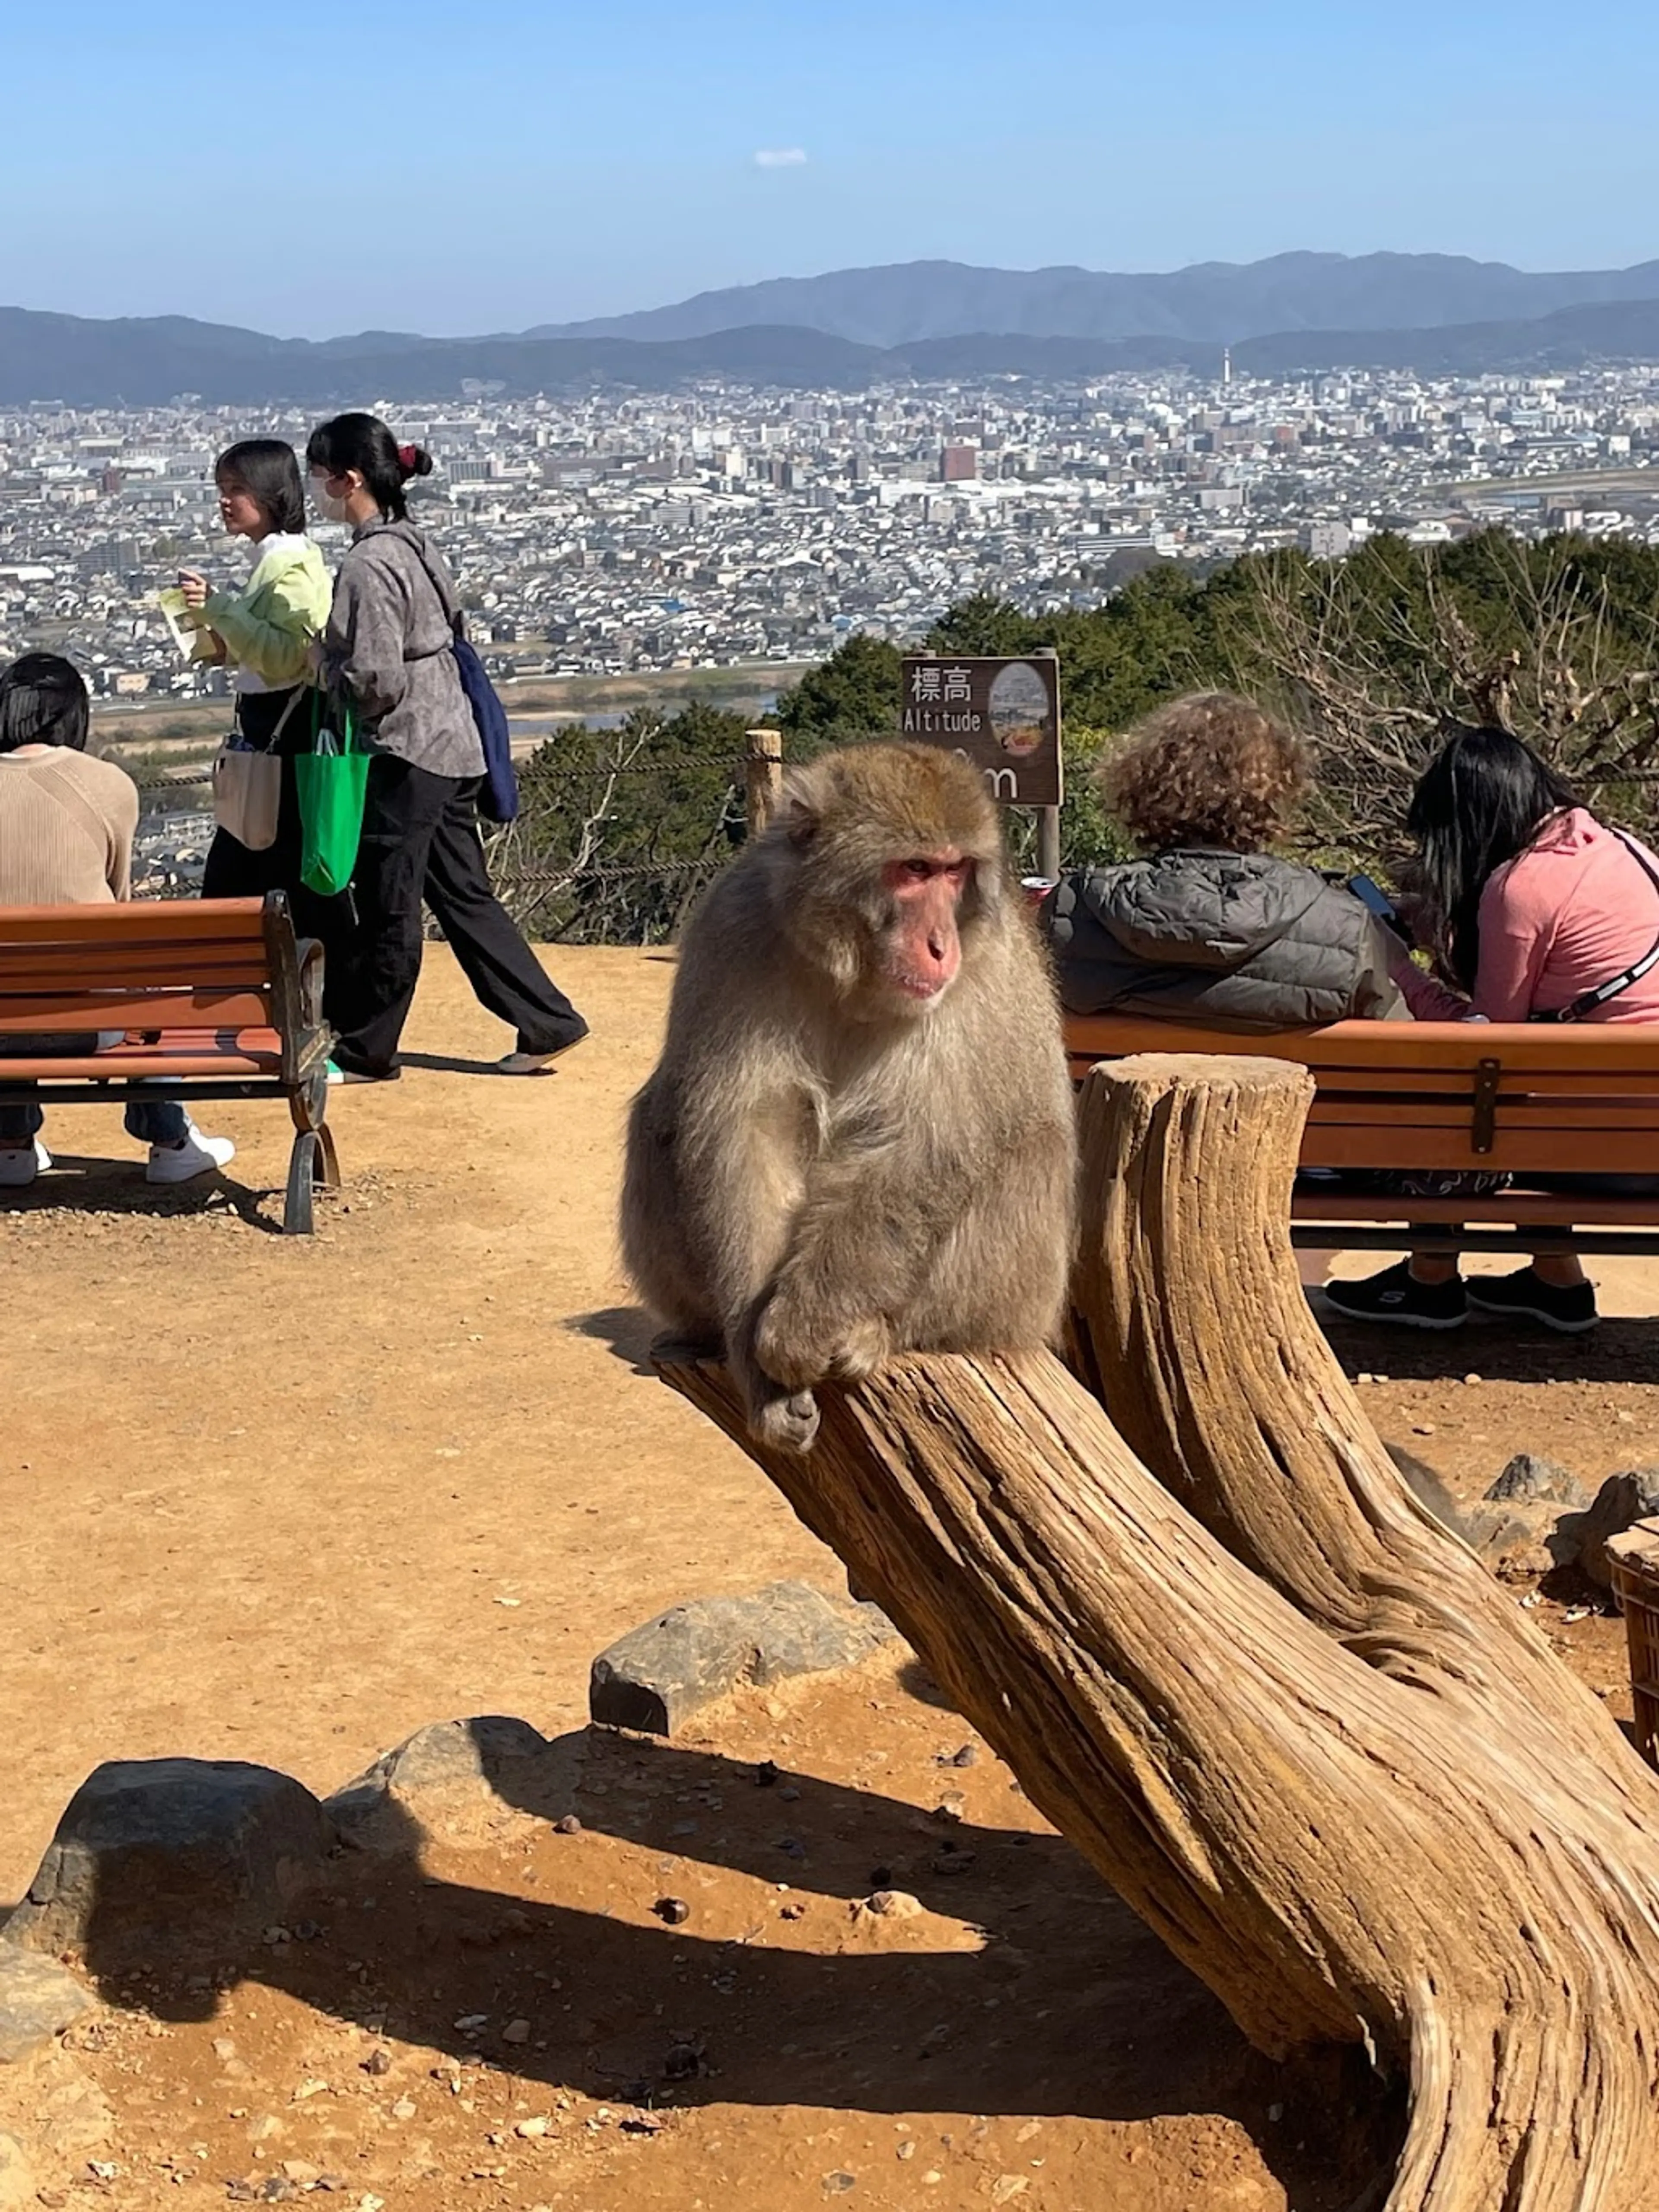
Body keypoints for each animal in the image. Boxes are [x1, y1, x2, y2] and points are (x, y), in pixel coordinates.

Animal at [623, 748, 1079, 1451]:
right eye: (914, 870)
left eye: (954, 870)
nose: (941, 944)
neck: (854, 976)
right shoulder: (736, 925)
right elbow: (749, 1128)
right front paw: (760, 1370)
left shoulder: (985, 962)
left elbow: (925, 1144)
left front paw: (797, 1331)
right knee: (659, 1116)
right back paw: (701, 1331)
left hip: (1021, 1300)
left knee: (1026, 1150)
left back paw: (876, 1331)